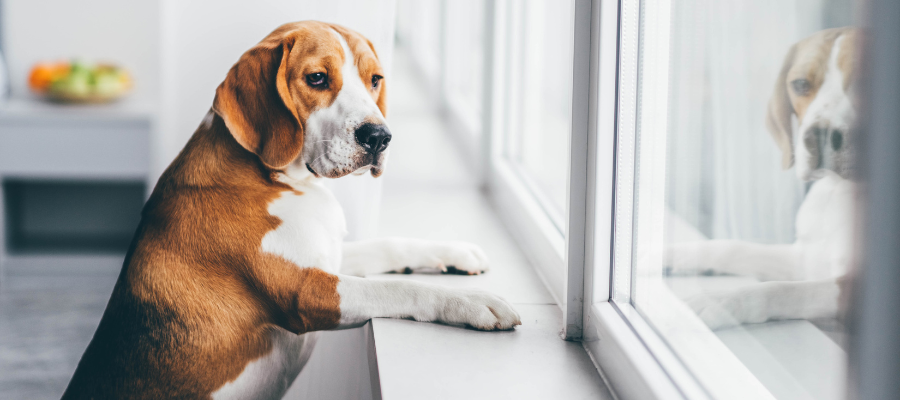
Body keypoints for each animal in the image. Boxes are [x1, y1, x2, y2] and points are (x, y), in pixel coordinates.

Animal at [63, 21, 520, 400]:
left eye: (375, 80)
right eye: (317, 78)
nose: (380, 136)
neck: (283, 180)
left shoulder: (327, 256)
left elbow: (390, 246)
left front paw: (455, 252)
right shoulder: (309, 291)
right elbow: (395, 289)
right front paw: (474, 303)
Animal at [668, 27, 856, 328]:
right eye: (800, 84)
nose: (819, 136)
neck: (839, 193)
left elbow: (785, 290)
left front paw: (721, 301)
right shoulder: (804, 259)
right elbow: (732, 248)